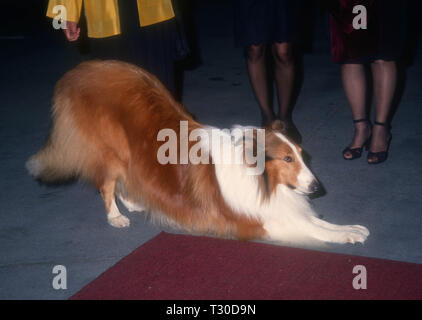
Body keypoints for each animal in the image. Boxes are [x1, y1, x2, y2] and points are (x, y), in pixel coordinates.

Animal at [26, 60, 370, 245]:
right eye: (286, 159)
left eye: (301, 154)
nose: (316, 187)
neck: (260, 179)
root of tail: (78, 72)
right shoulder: (257, 221)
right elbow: (313, 228)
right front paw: (348, 235)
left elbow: (321, 222)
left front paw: (350, 228)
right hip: (110, 151)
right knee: (106, 184)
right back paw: (116, 217)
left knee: (123, 181)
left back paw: (134, 203)